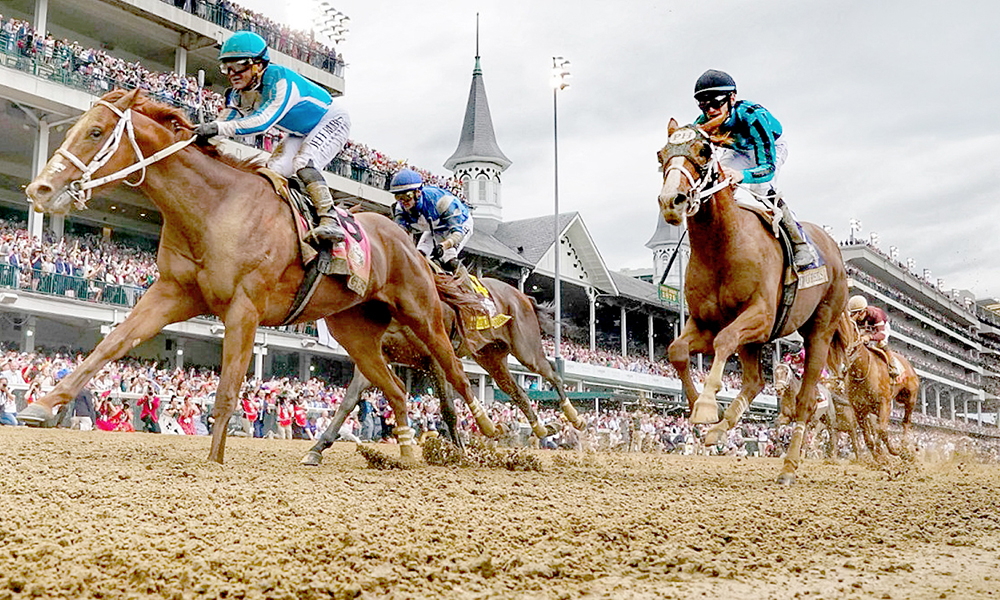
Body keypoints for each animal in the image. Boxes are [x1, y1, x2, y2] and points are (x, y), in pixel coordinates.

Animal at [19, 89, 496, 464]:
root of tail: (408, 240)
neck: (215, 208)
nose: (39, 189)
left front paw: (214, 461)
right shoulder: (170, 294)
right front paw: (42, 406)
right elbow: (110, 344)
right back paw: (406, 450)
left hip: (422, 314)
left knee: (455, 372)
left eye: (96, 132)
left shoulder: (244, 310)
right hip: (355, 330)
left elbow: (228, 389)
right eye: (75, 128)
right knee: (394, 387)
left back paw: (492, 435)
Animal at [304, 278, 584, 466]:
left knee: (554, 375)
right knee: (519, 394)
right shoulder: (372, 357)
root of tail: (523, 297)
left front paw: (459, 451)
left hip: (527, 350)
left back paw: (574, 417)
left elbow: (448, 408)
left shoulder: (436, 357)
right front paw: (318, 447)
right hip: (492, 358)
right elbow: (348, 402)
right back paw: (542, 428)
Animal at [656, 120, 852, 482]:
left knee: (805, 400)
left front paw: (707, 406)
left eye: (703, 151)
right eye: (661, 154)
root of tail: (834, 249)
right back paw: (721, 429)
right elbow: (677, 350)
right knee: (754, 380)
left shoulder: (759, 316)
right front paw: (701, 412)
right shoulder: (703, 323)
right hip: (756, 342)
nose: (670, 201)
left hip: (819, 328)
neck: (722, 244)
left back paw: (789, 467)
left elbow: (724, 340)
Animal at [840, 316, 916, 458]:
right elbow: (869, 438)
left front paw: (885, 453)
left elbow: (880, 430)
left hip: (910, 399)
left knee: (906, 422)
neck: (863, 371)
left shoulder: (884, 402)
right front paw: (879, 457)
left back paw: (903, 446)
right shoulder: (859, 409)